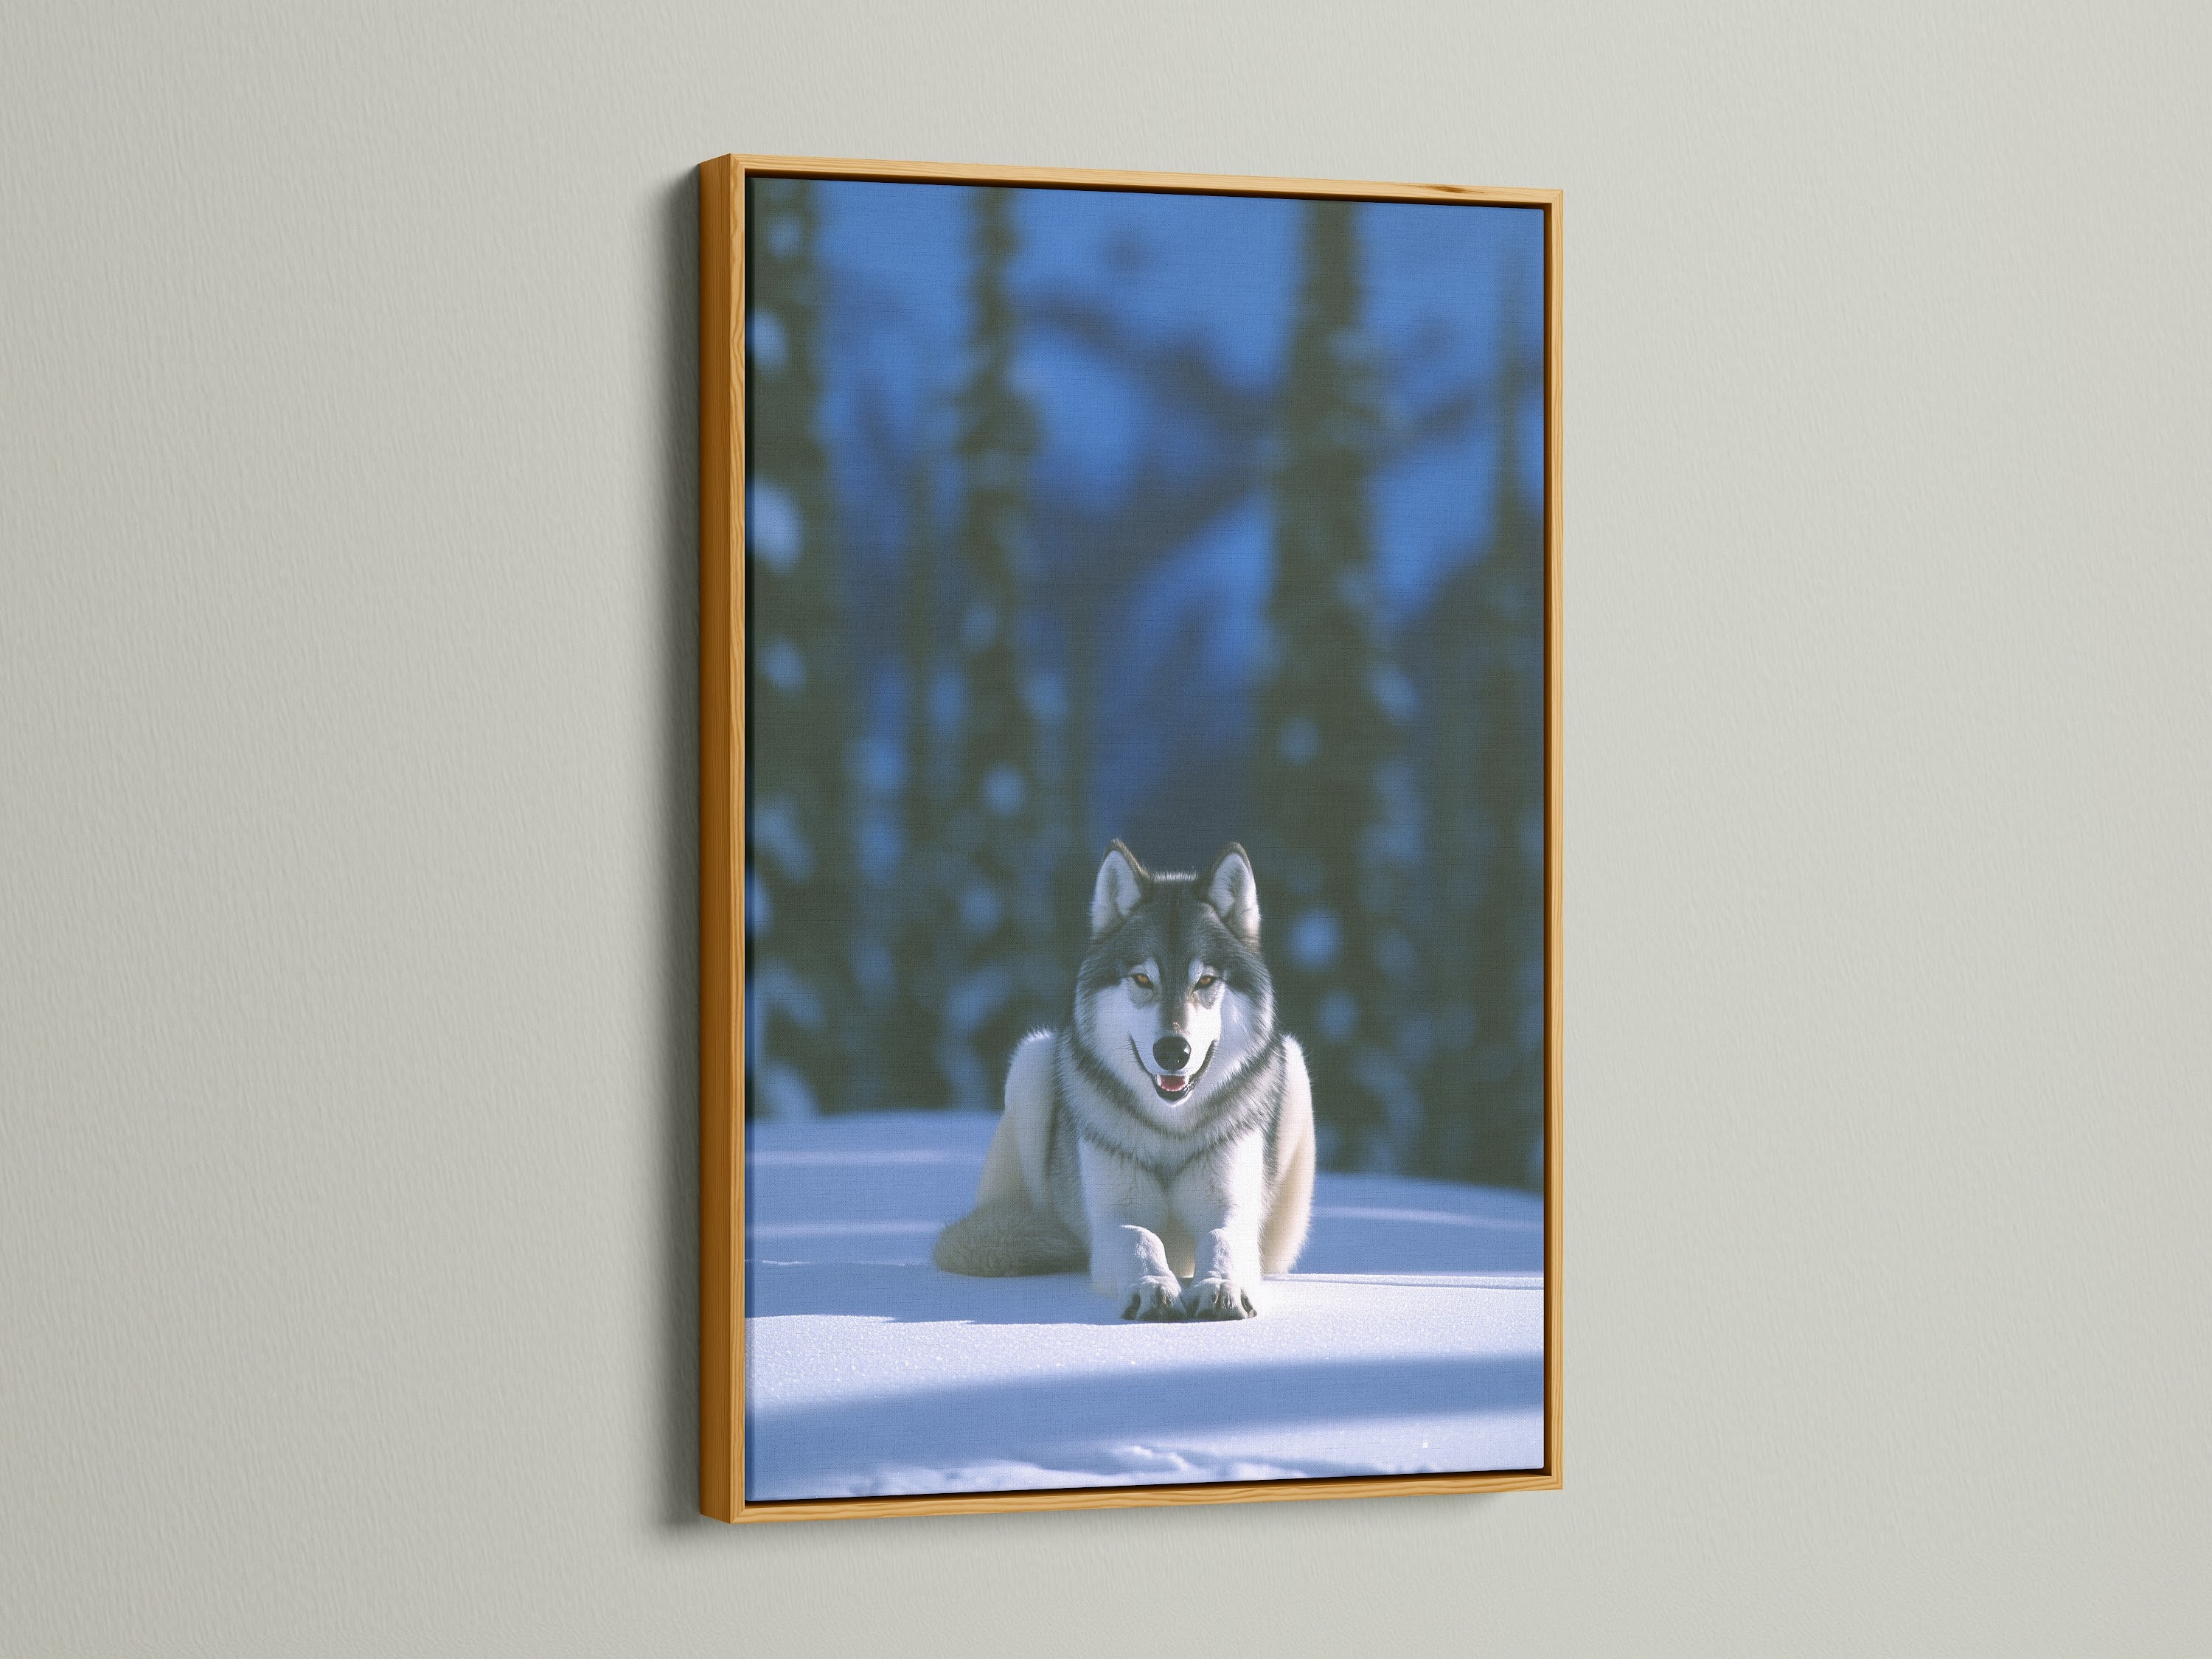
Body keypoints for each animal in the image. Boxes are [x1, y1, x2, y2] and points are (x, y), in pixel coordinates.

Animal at [933, 841, 1315, 1320]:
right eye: (1142, 978)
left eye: (1206, 980)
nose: (1173, 1051)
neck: (1170, 1129)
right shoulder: (1114, 1218)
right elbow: (1141, 1239)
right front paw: (1153, 1287)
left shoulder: (1231, 1210)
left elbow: (1221, 1238)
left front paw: (1221, 1286)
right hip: (1032, 1060)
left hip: (1295, 1066)